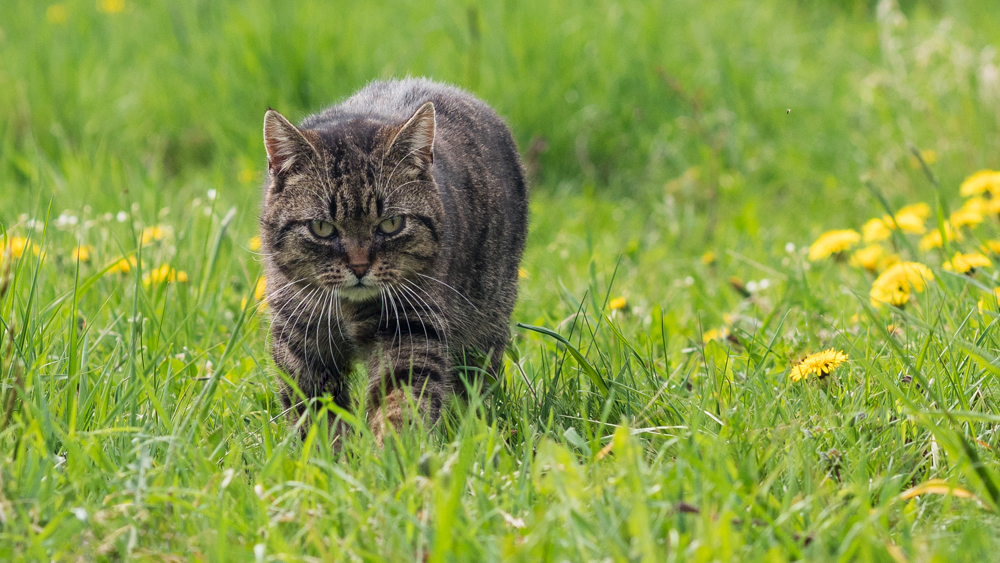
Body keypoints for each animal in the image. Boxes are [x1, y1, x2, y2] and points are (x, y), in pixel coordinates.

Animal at [260, 78, 532, 446]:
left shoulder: (412, 328)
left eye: (391, 224)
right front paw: (328, 455)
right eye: (322, 228)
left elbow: (400, 403)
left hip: (485, 323)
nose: (360, 267)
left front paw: (391, 453)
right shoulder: (298, 341)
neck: (349, 310)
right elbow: (316, 416)